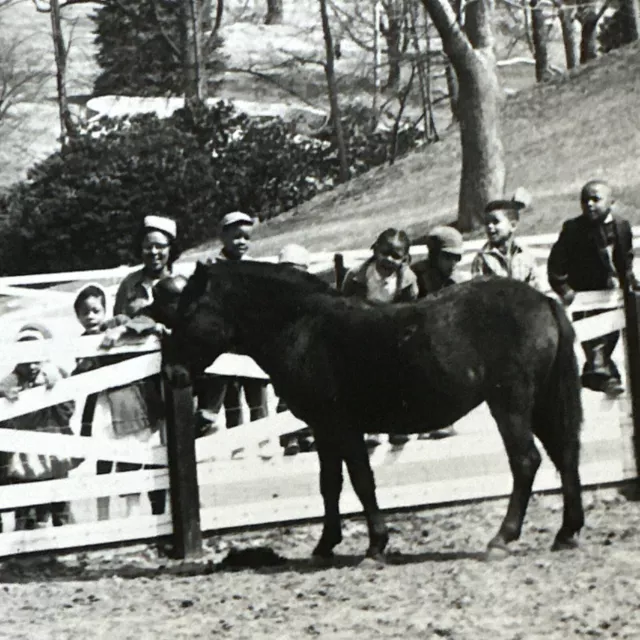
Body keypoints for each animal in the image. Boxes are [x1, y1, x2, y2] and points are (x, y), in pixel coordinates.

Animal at [166, 260, 584, 560]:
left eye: (187, 313)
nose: (173, 373)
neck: (303, 326)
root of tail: (543, 301)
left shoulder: (342, 427)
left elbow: (361, 482)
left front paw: (375, 545)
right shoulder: (323, 430)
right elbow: (330, 485)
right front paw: (326, 544)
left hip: (511, 405)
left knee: (526, 461)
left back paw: (502, 539)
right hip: (541, 403)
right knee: (564, 456)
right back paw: (567, 532)